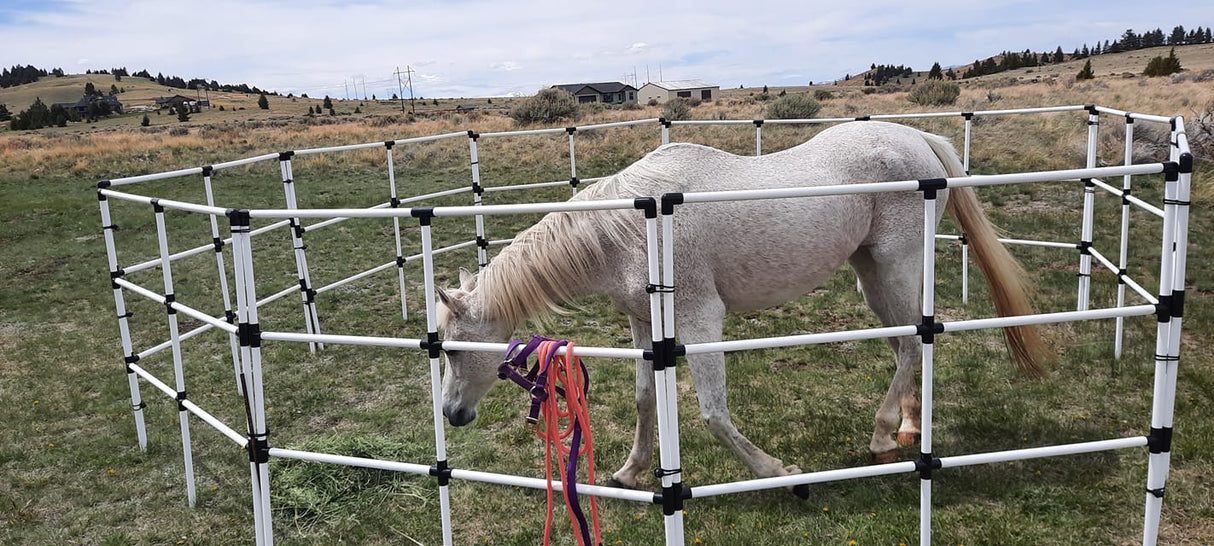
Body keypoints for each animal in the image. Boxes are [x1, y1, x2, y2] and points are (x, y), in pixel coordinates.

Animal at [435, 120, 1050, 493]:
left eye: (457, 349)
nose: (452, 414)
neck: (628, 229)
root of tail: (916, 137)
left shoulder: (701, 318)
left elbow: (712, 411)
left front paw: (779, 471)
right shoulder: (642, 321)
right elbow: (644, 401)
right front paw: (630, 471)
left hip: (896, 268)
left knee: (912, 342)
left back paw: (880, 434)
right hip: (872, 273)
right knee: (905, 345)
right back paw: (906, 425)